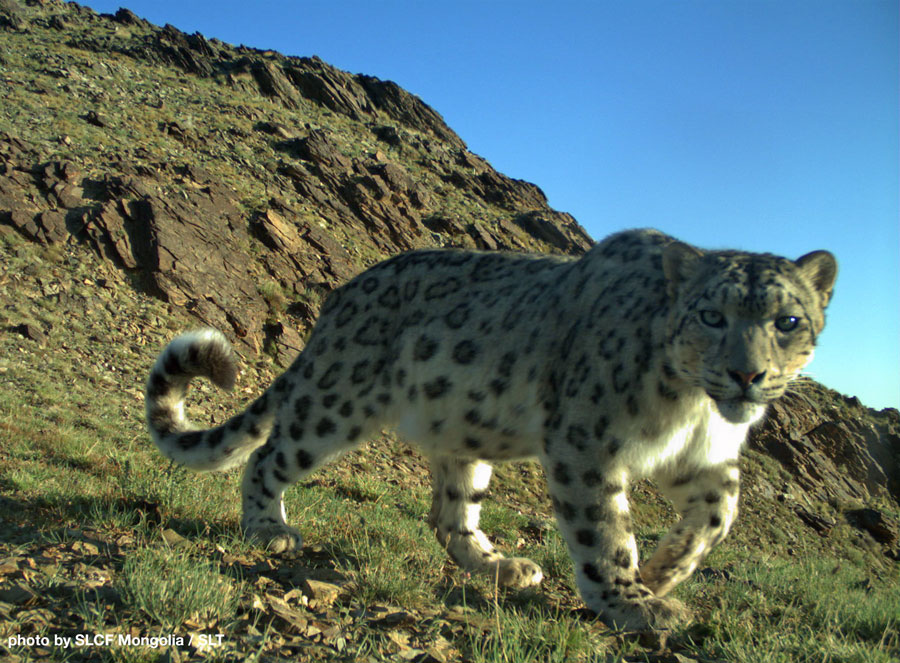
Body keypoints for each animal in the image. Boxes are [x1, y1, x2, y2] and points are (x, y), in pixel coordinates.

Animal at [144, 228, 837, 630]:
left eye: (789, 320)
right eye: (712, 315)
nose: (747, 374)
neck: (693, 409)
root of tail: (339, 298)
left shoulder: (704, 459)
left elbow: (720, 516)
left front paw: (664, 571)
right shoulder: (587, 444)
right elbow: (606, 532)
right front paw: (633, 602)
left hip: (464, 433)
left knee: (450, 514)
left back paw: (503, 566)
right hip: (336, 402)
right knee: (268, 456)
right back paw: (270, 530)